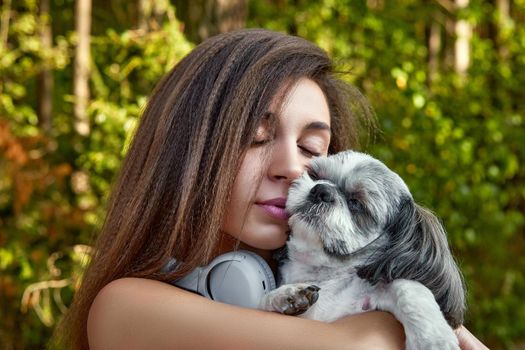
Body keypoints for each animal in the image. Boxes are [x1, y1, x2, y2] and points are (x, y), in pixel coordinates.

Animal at [260, 150, 464, 350]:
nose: (321, 190)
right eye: (315, 175)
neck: (323, 273)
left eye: (356, 203)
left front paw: (434, 339)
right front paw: (286, 295)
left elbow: (408, 287)